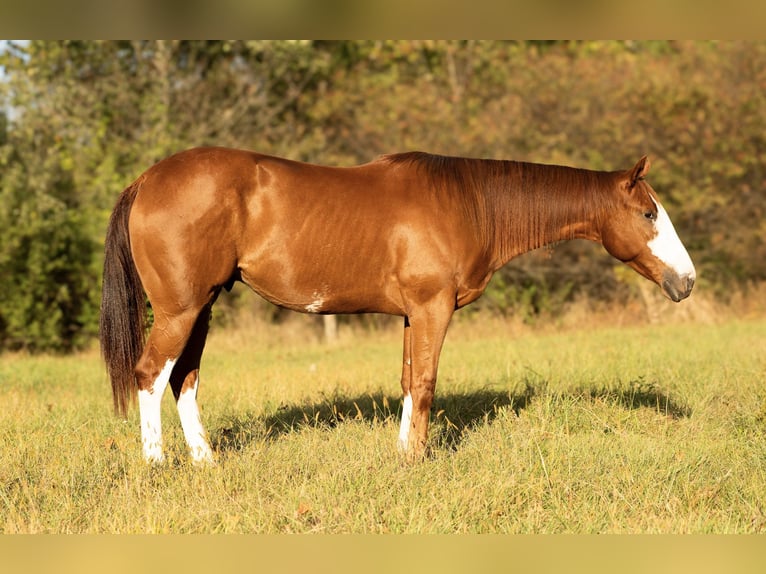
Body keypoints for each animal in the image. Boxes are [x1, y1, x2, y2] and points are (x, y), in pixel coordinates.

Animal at [100, 147, 696, 464]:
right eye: (648, 215)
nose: (686, 282)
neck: (467, 204)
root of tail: (147, 179)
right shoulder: (434, 308)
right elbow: (427, 382)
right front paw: (420, 460)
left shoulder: (414, 313)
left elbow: (409, 381)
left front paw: (402, 454)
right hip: (180, 309)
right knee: (151, 374)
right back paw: (158, 465)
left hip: (201, 307)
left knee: (184, 378)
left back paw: (206, 461)